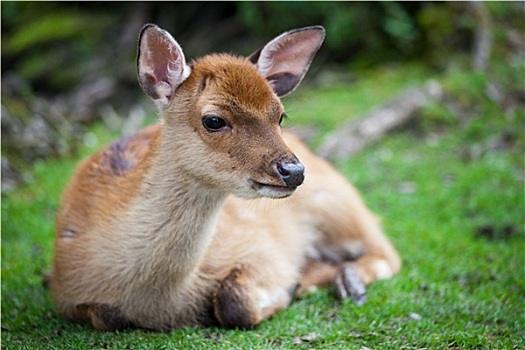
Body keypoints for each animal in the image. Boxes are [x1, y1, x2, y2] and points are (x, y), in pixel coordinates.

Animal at [50, 23, 402, 330]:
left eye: (280, 115)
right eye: (214, 120)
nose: (293, 171)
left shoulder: (261, 248)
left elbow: (236, 303)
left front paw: (291, 287)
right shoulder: (66, 296)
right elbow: (104, 316)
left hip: (339, 204)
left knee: (387, 251)